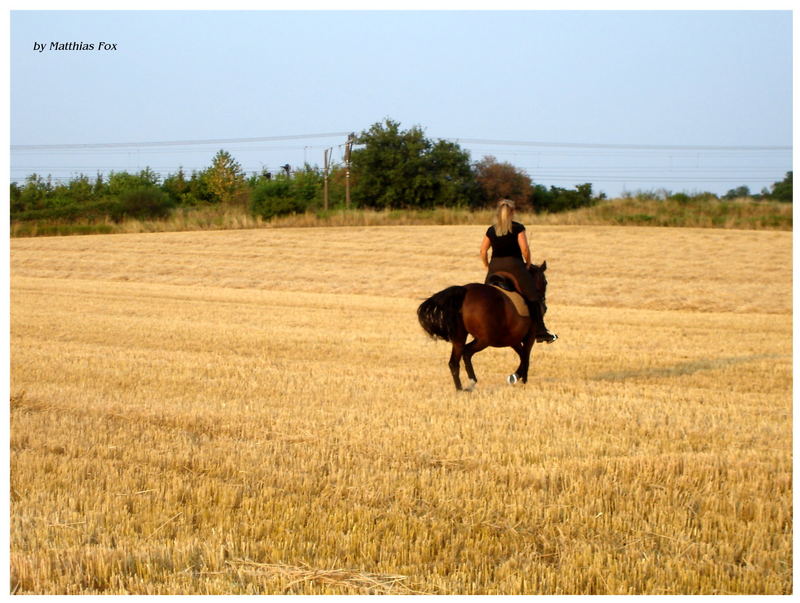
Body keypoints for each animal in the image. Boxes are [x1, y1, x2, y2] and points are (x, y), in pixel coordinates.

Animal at [418, 264, 552, 392]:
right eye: (545, 282)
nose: (544, 305)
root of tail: (465, 290)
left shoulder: (514, 340)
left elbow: (522, 355)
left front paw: (516, 377)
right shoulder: (529, 337)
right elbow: (525, 357)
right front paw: (520, 378)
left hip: (460, 338)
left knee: (454, 362)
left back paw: (460, 389)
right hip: (484, 340)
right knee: (466, 352)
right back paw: (472, 381)